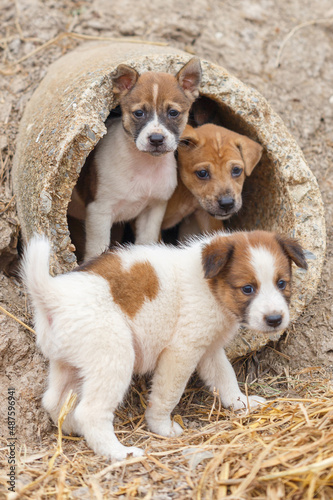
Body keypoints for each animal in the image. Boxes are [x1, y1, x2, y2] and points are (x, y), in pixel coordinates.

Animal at [21, 230, 306, 460]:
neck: (209, 286)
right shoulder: (181, 353)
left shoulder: (209, 350)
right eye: (247, 289)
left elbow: (226, 379)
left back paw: (73, 429)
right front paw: (162, 427)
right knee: (90, 412)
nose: (275, 319)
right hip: (114, 359)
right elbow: (167, 395)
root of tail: (53, 296)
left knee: (54, 402)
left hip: (67, 365)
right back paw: (119, 452)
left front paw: (242, 403)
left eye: (282, 283)